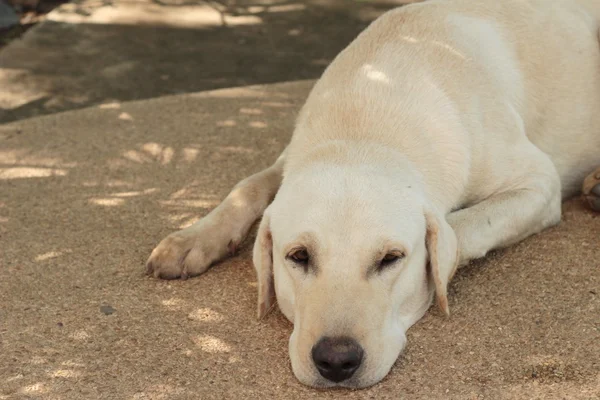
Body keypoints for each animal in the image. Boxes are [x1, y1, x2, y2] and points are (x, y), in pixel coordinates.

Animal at [145, 0, 600, 388]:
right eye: (298, 256)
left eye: (391, 259)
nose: (336, 361)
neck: (367, 120)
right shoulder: (292, 157)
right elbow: (250, 185)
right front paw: (194, 238)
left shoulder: (539, 184)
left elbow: (463, 227)